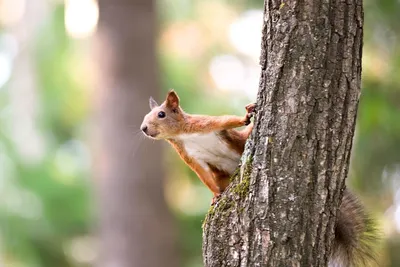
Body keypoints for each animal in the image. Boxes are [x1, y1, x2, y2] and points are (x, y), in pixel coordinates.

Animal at [141, 90, 378, 267]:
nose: (143, 128)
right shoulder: (191, 158)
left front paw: (246, 116)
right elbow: (205, 177)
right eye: (145, 117)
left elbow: (226, 120)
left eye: (161, 114)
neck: (183, 135)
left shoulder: (205, 124)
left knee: (244, 135)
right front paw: (216, 196)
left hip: (240, 140)